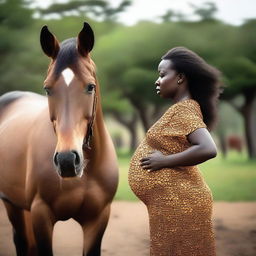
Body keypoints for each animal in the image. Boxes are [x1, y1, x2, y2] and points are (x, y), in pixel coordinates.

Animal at [0, 22, 119, 256]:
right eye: (47, 89)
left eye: (90, 86)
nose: (66, 161)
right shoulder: (41, 214)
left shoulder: (98, 218)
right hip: (12, 204)